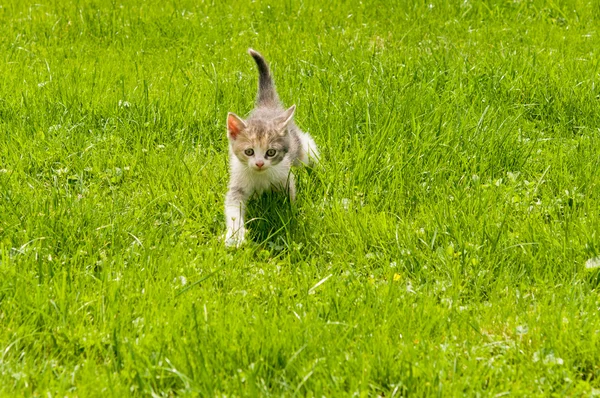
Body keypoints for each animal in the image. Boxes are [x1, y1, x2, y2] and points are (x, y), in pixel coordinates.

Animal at [224, 48, 318, 247]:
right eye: (249, 151)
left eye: (271, 152)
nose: (259, 163)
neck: (261, 177)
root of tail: (267, 106)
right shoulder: (237, 183)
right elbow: (233, 207)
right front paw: (235, 235)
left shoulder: (285, 176)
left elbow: (290, 197)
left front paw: (289, 215)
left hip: (300, 148)